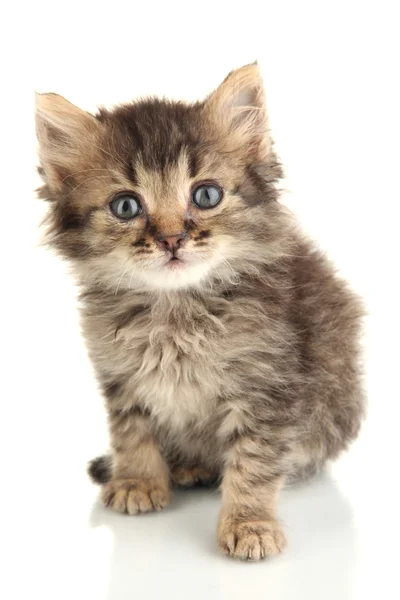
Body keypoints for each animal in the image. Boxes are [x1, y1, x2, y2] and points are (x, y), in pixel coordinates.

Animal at [36, 63, 364, 560]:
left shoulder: (269, 387)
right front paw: (138, 480)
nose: (172, 239)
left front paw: (249, 523)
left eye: (206, 196)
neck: (175, 310)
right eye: (126, 206)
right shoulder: (120, 375)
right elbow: (131, 431)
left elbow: (254, 460)